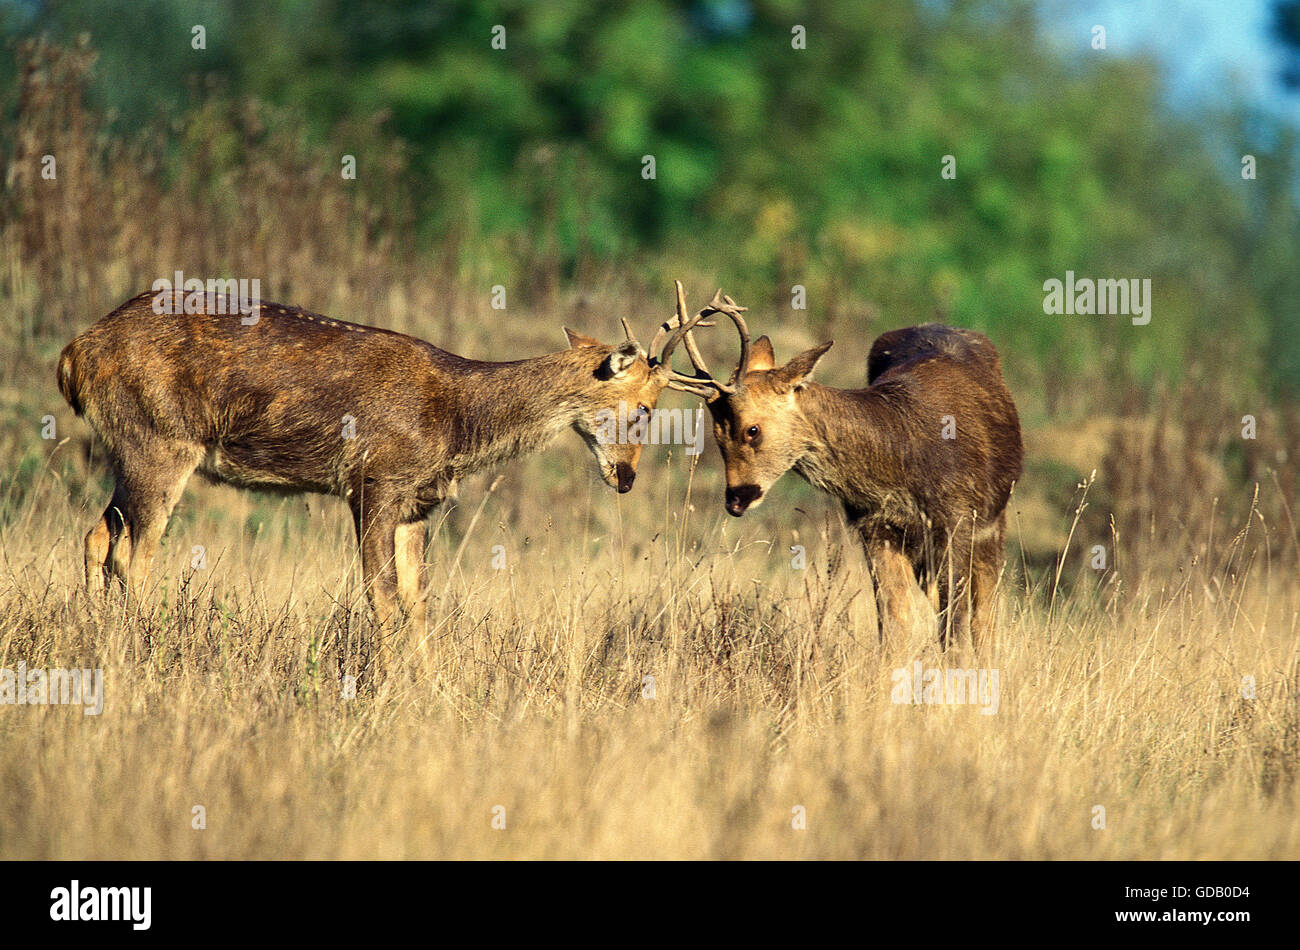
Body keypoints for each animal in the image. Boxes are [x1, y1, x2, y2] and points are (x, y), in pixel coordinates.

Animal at [58, 285, 712, 634]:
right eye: (647, 408)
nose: (627, 477)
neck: (457, 421)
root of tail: (74, 355)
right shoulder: (373, 478)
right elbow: (383, 596)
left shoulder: (417, 501)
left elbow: (419, 601)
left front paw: (428, 691)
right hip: (161, 439)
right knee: (134, 554)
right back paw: (143, 642)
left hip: (129, 446)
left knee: (98, 534)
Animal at [665, 282, 1019, 649]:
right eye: (716, 435)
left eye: (752, 430)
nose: (736, 498)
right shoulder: (875, 526)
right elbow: (894, 625)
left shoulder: (957, 520)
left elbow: (957, 626)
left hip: (994, 520)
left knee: (984, 616)